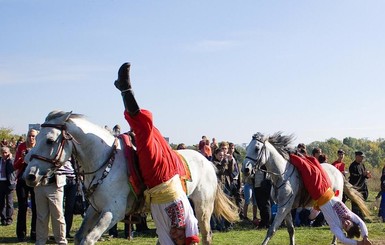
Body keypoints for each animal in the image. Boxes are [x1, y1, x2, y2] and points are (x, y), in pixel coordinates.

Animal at [22, 111, 237, 245]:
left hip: (202, 206)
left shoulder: (113, 212)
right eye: (36, 137)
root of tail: (207, 162)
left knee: (206, 234)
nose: (30, 176)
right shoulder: (94, 209)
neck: (106, 162)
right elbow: (80, 236)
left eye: (50, 140)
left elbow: (89, 238)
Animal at [242, 132, 370, 245]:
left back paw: (334, 241)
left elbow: (271, 230)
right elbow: (291, 229)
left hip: (337, 197)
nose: (245, 169)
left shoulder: (283, 207)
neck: (281, 175)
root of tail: (338, 171)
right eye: (247, 147)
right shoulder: (285, 207)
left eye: (257, 149)